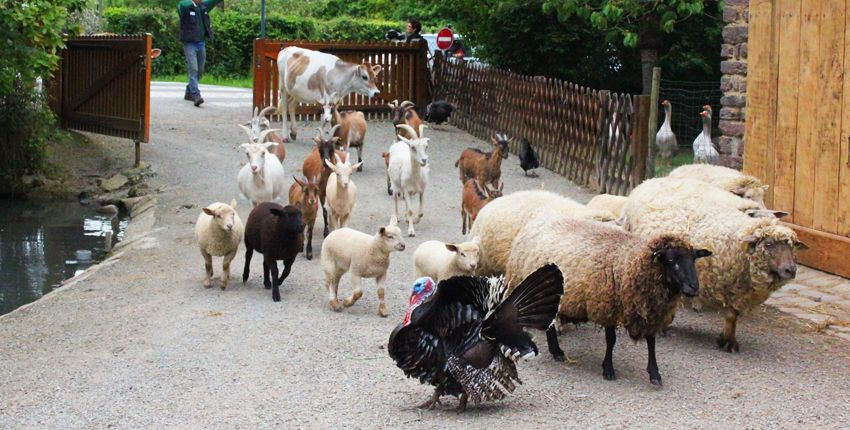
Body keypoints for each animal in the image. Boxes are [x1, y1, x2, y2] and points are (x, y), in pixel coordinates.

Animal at [620, 176, 804, 352]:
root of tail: (648, 181)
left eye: (793, 246)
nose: (790, 270)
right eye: (769, 244)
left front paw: (728, 341)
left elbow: (731, 316)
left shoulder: (735, 288)